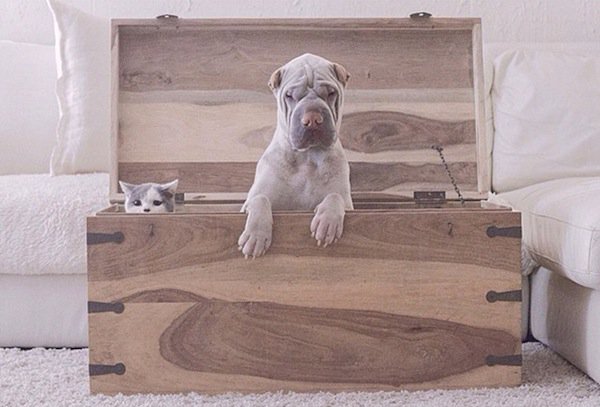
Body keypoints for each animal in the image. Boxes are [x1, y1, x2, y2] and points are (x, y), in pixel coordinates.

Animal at [238, 53, 353, 258]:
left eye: (331, 93)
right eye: (289, 95)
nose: (313, 119)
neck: (307, 158)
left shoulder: (346, 202)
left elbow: (335, 196)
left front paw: (327, 222)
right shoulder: (251, 200)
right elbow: (260, 199)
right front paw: (255, 235)